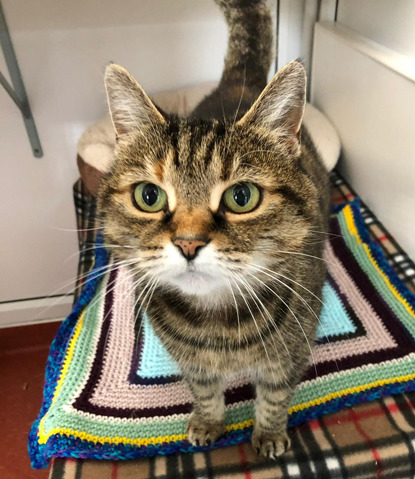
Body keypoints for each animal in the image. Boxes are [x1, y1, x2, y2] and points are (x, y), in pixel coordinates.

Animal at [97, 0, 328, 460]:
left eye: (242, 197)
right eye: (148, 195)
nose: (188, 242)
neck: (218, 327)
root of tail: (240, 79)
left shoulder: (290, 356)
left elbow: (275, 396)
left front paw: (269, 434)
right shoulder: (192, 363)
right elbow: (204, 390)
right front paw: (208, 422)